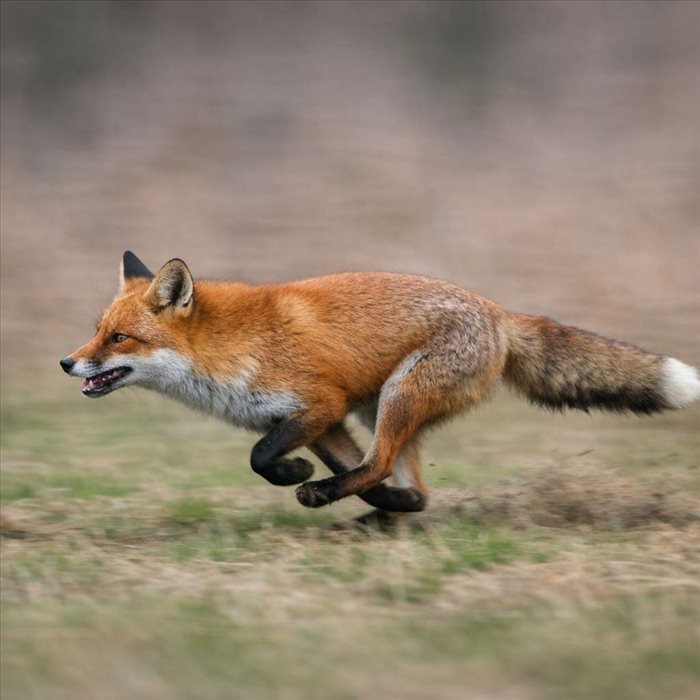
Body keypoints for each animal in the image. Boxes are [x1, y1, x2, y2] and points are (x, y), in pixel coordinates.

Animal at [60, 251, 700, 515]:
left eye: (119, 338)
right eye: (97, 332)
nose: (67, 363)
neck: (228, 348)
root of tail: (498, 313)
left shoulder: (318, 404)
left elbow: (261, 458)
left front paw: (298, 476)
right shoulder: (319, 421)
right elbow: (329, 467)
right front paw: (339, 488)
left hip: (397, 398)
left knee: (380, 462)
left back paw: (328, 497)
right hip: (382, 409)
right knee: (404, 483)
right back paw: (386, 511)